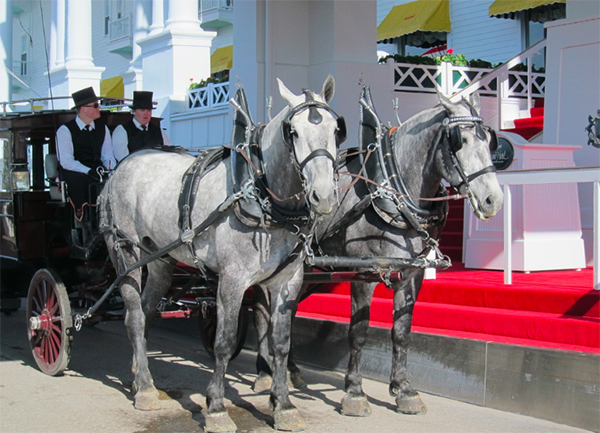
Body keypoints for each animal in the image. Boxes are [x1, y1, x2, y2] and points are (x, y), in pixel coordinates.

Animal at [98, 76, 342, 430]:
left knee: (144, 314)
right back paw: (144, 388)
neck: (264, 198)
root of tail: (119, 168)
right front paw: (216, 407)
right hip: (127, 254)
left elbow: (281, 344)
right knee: (132, 315)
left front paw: (284, 405)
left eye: (336, 129)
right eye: (293, 131)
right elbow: (224, 343)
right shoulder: (233, 280)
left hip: (158, 259)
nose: (323, 196)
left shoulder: (287, 282)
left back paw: (137, 373)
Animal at [251, 88, 504, 416]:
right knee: (260, 309)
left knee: (287, 312)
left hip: (309, 271)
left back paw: (291, 370)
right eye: (459, 140)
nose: (493, 200)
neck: (393, 189)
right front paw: (355, 393)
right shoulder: (364, 272)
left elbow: (402, 330)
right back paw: (264, 371)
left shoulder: (411, 272)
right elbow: (358, 332)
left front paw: (403, 389)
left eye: (490, 140)